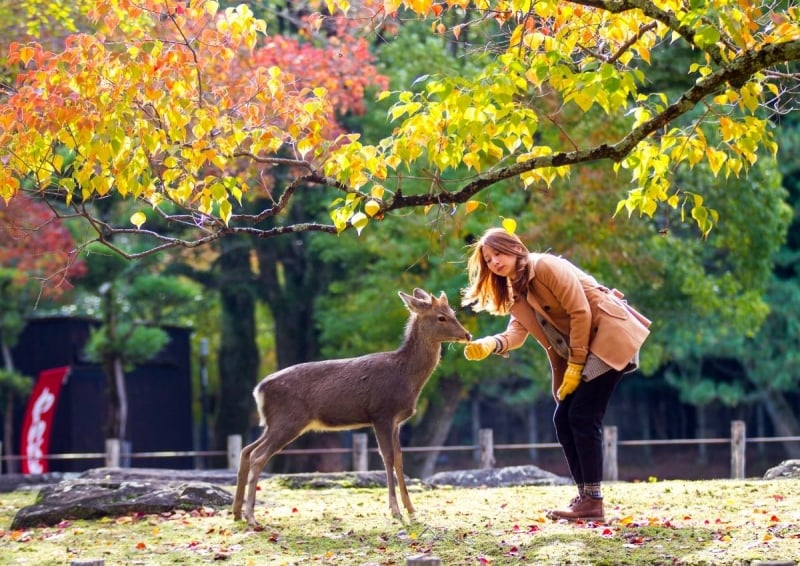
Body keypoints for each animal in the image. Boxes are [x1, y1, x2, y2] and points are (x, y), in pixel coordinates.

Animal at [230, 290, 468, 532]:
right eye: (441, 317)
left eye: (453, 312)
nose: (467, 335)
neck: (406, 377)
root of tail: (259, 389)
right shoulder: (381, 413)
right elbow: (388, 457)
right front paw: (395, 510)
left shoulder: (397, 421)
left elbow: (400, 459)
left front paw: (411, 509)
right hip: (288, 420)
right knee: (258, 456)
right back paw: (251, 517)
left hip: (274, 423)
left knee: (246, 450)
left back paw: (237, 513)